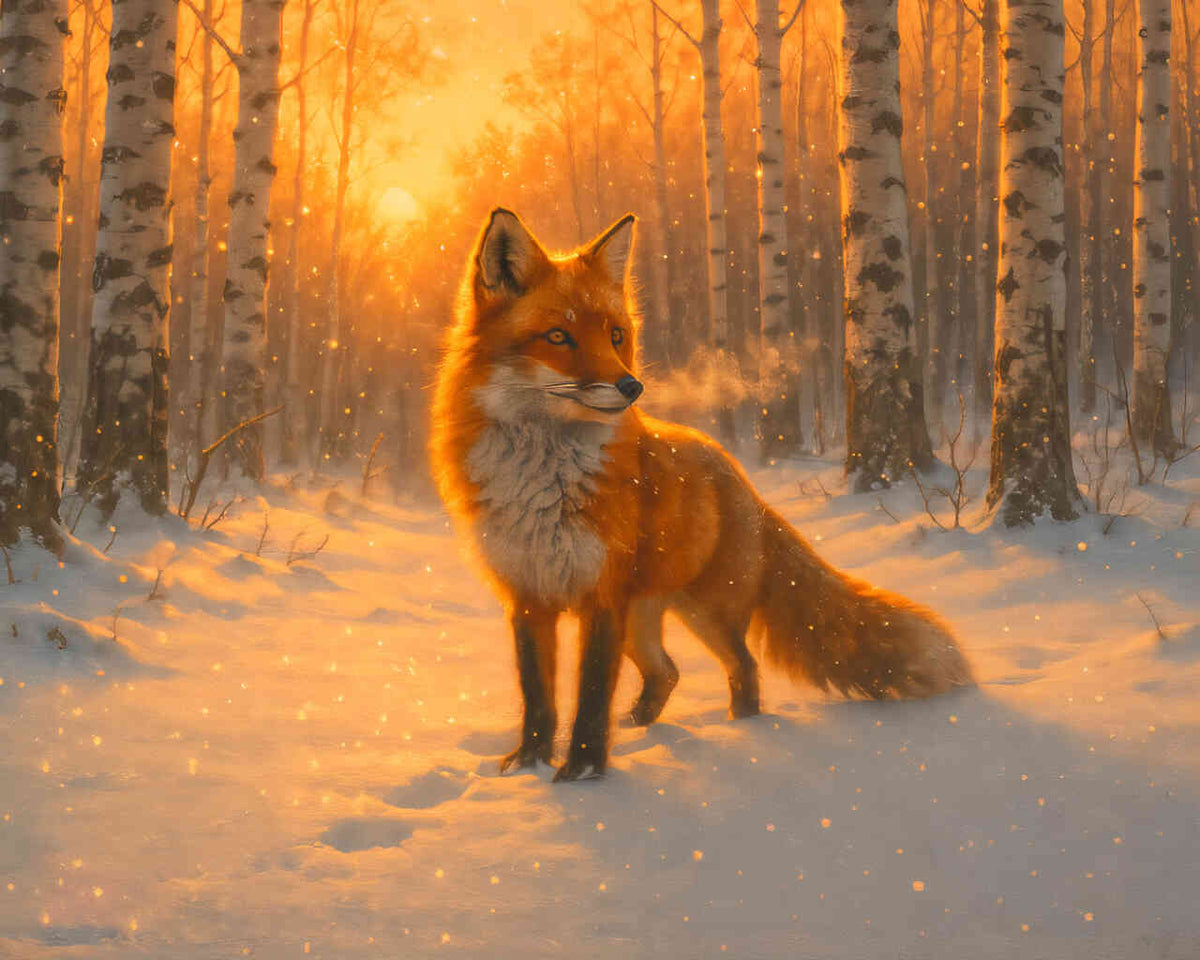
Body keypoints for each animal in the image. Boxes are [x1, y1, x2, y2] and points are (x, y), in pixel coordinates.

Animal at [430, 208, 973, 782]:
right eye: (558, 336)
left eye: (616, 335)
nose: (631, 387)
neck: (543, 481)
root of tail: (738, 475)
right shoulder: (528, 597)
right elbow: (538, 696)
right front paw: (528, 769)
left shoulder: (601, 596)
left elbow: (591, 697)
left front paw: (583, 775)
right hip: (642, 618)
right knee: (667, 672)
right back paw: (643, 730)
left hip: (704, 613)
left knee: (743, 667)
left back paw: (742, 731)